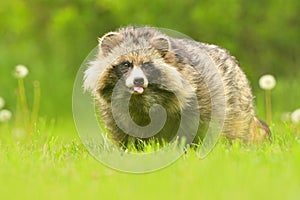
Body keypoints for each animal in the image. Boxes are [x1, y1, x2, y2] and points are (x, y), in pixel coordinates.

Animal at [83, 25, 270, 148]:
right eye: (126, 64)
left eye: (147, 65)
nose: (138, 81)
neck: (141, 99)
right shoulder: (115, 110)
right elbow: (124, 131)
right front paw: (132, 149)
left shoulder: (197, 93)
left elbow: (195, 126)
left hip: (236, 103)